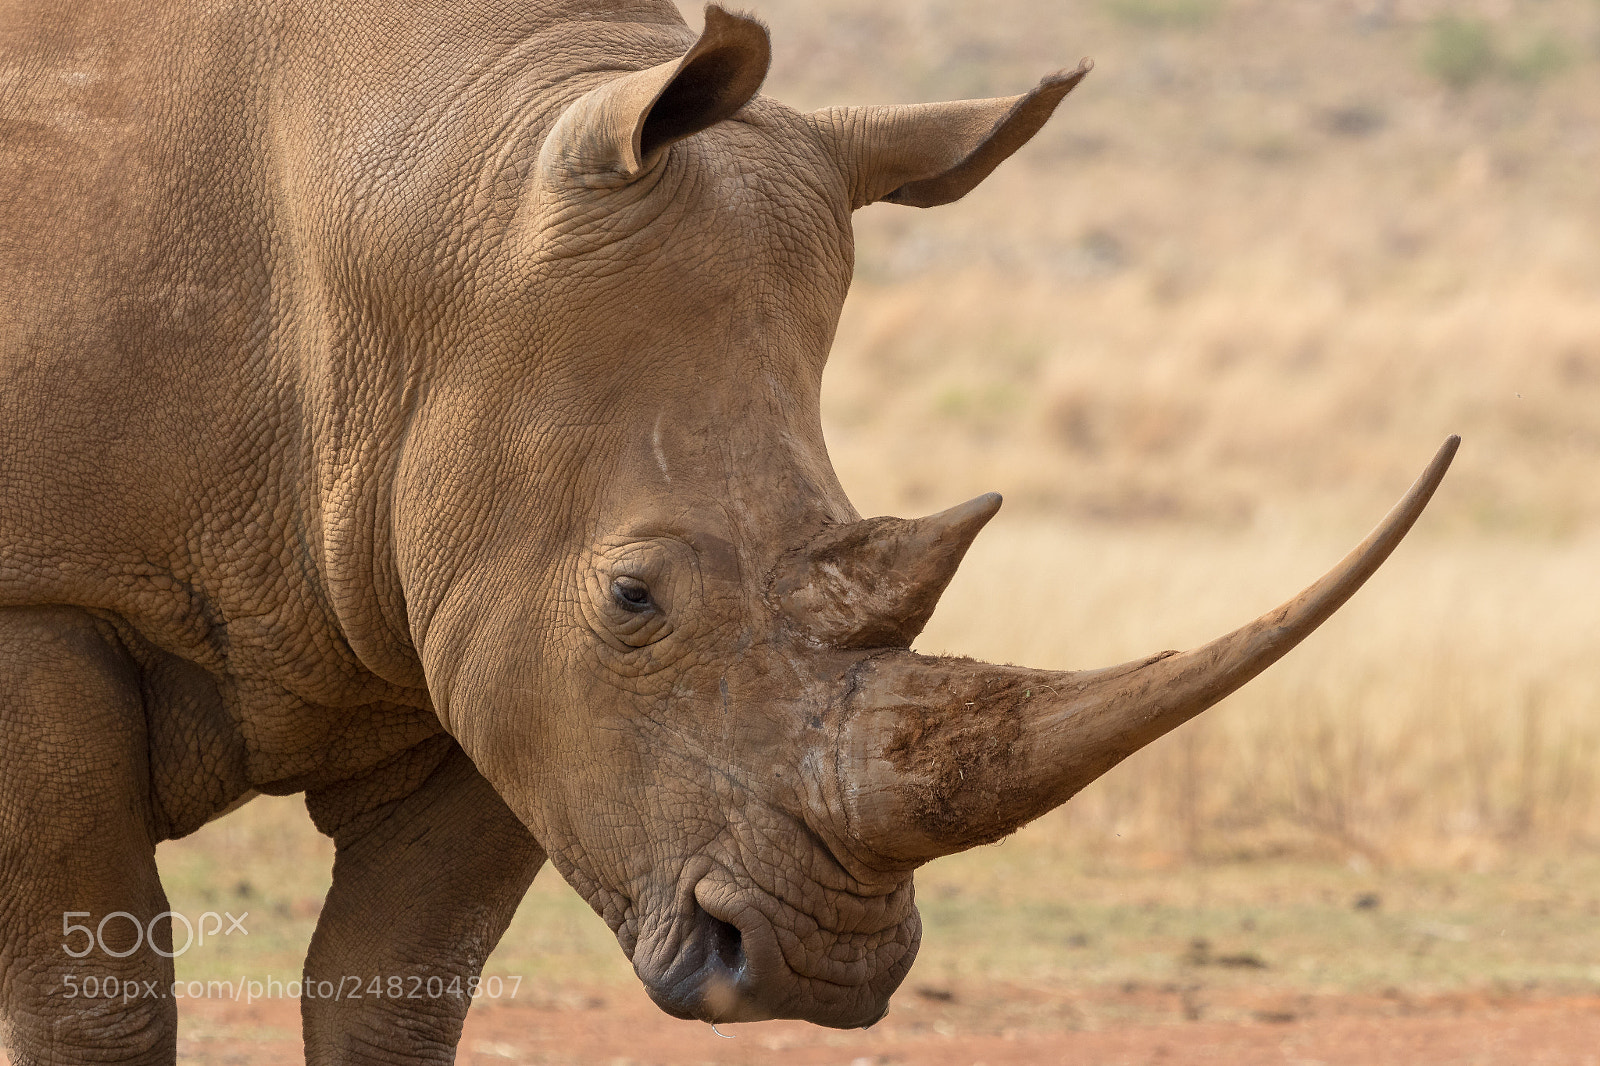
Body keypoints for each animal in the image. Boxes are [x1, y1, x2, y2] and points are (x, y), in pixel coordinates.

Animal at [0, 0, 1455, 1061]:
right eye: (633, 597)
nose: (818, 964)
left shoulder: (465, 610)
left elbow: (396, 991)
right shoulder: (40, 600)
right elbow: (95, 996)